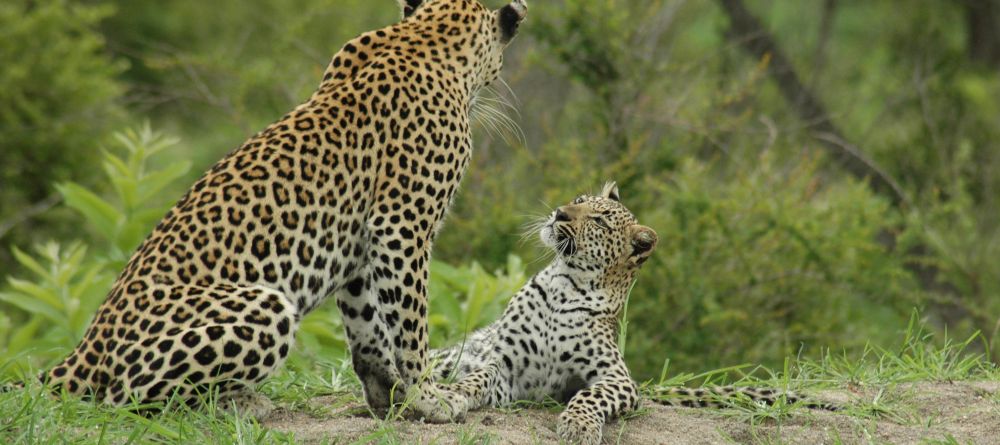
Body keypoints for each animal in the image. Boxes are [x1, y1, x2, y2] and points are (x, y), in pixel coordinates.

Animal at [36, 0, 528, 422]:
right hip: (266, 304)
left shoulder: (361, 242)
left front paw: (385, 393)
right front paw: (429, 398)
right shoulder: (401, 226)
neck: (423, 38)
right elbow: (410, 323)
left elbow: (366, 323)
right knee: (127, 398)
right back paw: (239, 404)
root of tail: (86, 348)